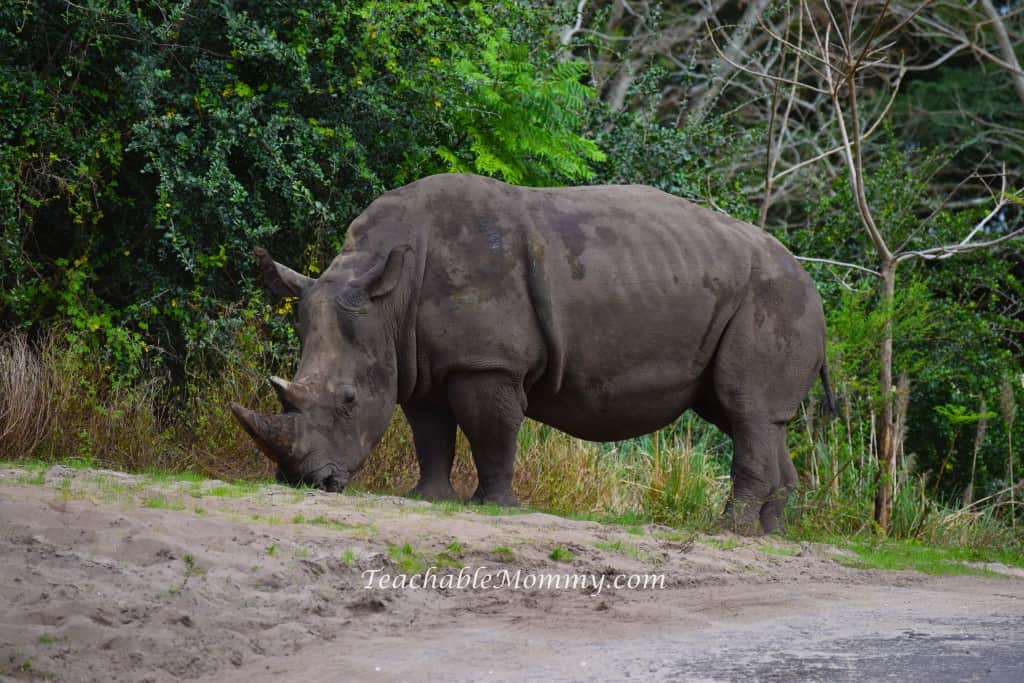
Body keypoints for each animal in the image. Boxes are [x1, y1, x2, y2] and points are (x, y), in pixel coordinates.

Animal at [231, 173, 833, 534]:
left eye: (349, 400)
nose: (307, 482)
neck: (387, 297)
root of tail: (809, 277)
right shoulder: (419, 361)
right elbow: (431, 433)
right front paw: (429, 499)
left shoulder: (488, 362)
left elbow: (492, 431)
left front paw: (494, 506)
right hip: (758, 296)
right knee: (753, 417)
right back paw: (772, 534)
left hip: (776, 296)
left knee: (744, 408)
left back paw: (728, 530)